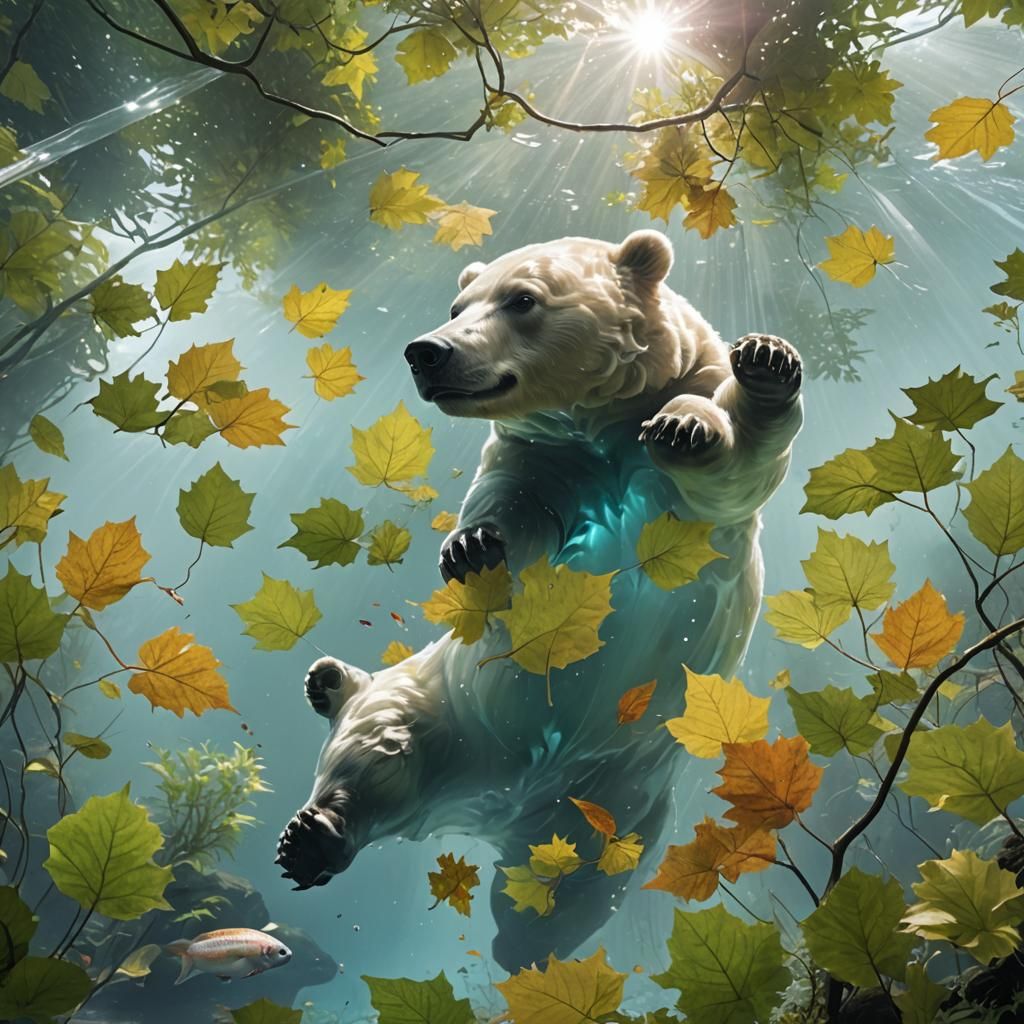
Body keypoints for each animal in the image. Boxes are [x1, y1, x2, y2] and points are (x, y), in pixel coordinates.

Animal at [275, 229, 803, 972]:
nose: (426, 351)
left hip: (617, 801)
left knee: (576, 885)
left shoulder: (681, 455)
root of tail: (499, 804)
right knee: (377, 752)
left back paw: (521, 942)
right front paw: (470, 547)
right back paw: (315, 826)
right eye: (458, 303)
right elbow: (507, 510)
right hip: (441, 699)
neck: (603, 424)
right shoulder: (538, 458)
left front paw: (753, 371)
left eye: (521, 299)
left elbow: (738, 456)